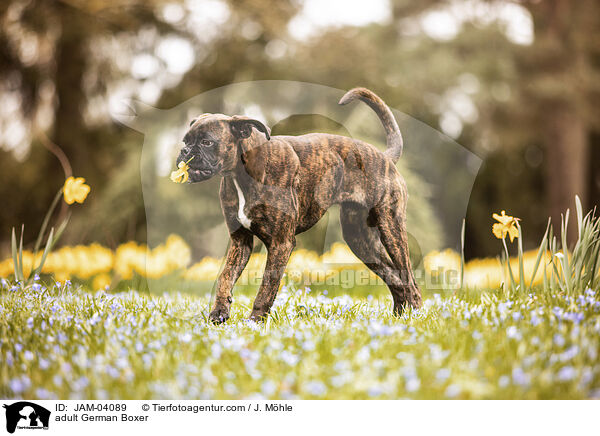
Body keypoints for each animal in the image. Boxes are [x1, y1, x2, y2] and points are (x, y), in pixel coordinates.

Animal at [177, 87, 422, 322]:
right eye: (185, 141)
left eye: (207, 142)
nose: (184, 151)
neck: (242, 173)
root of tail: (385, 156)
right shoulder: (241, 241)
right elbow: (225, 277)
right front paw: (219, 314)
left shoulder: (281, 243)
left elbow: (267, 285)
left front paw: (255, 320)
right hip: (360, 240)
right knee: (395, 278)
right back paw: (397, 318)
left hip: (391, 229)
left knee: (409, 280)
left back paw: (413, 318)